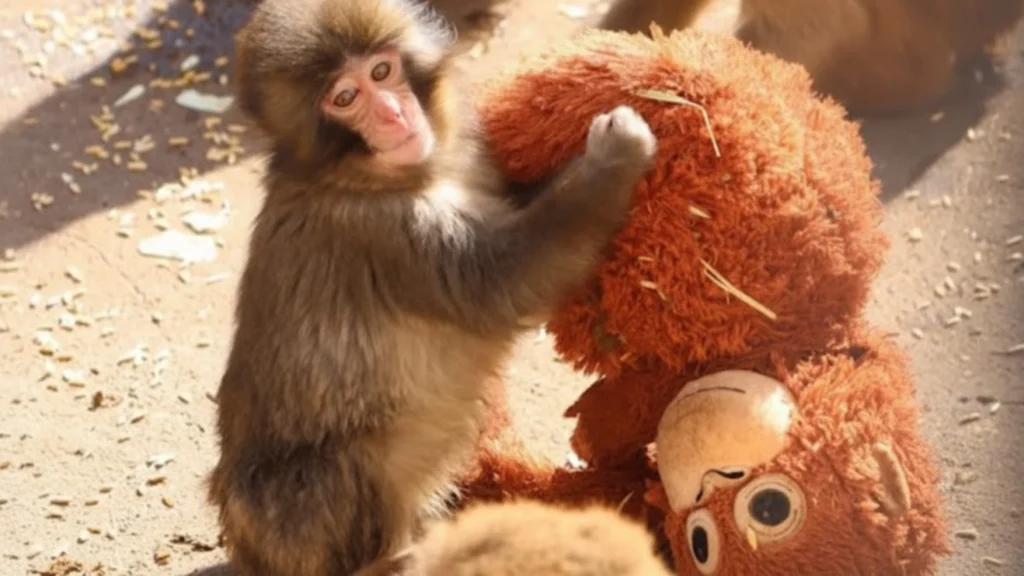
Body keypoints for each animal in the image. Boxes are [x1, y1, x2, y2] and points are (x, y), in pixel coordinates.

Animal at [205, 0, 658, 574]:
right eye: (345, 98)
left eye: (382, 71)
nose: (394, 115)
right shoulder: (384, 233)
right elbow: (499, 281)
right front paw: (616, 153)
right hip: (280, 523)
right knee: (332, 472)